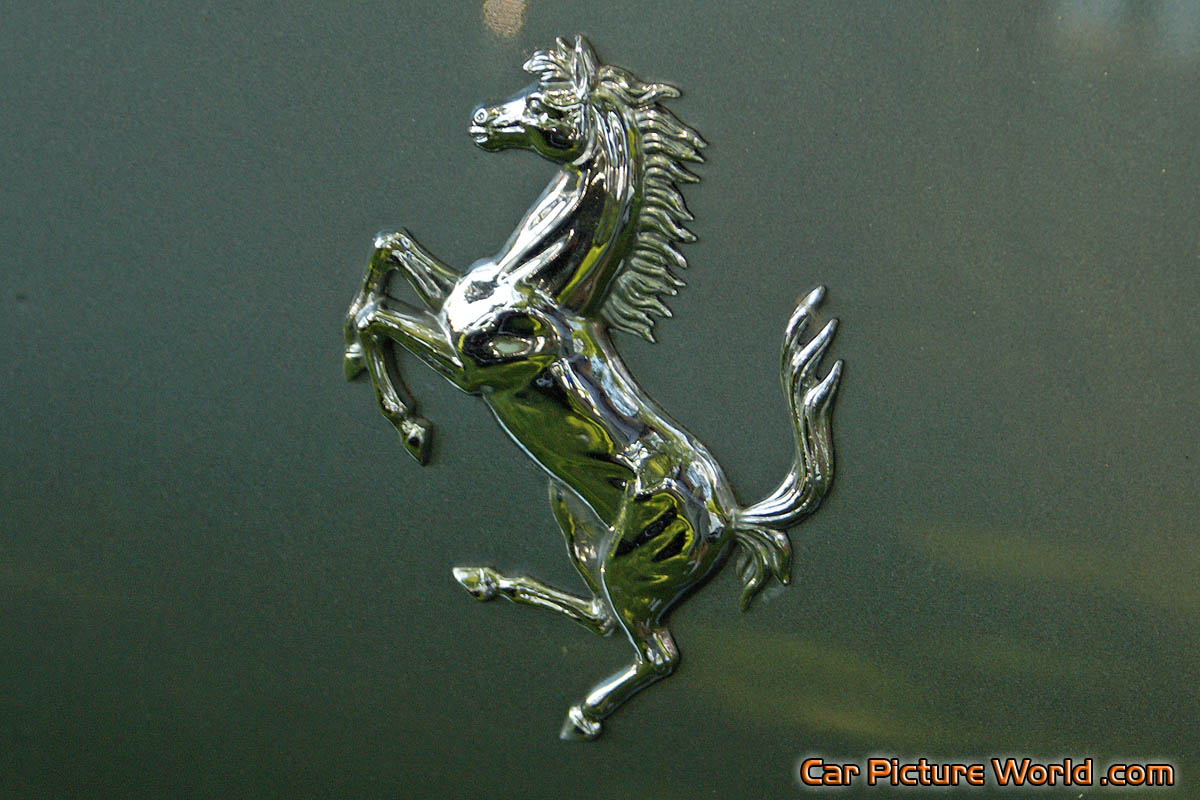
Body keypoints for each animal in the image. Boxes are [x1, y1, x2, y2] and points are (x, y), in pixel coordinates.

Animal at [343, 35, 841, 740]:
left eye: (550, 104)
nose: (481, 119)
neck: (541, 285)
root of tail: (732, 516)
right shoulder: (452, 306)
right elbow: (390, 246)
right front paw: (354, 357)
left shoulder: (471, 367)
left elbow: (378, 317)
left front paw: (409, 425)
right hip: (600, 539)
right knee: (606, 615)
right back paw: (485, 581)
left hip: (637, 568)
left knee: (656, 651)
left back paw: (584, 711)